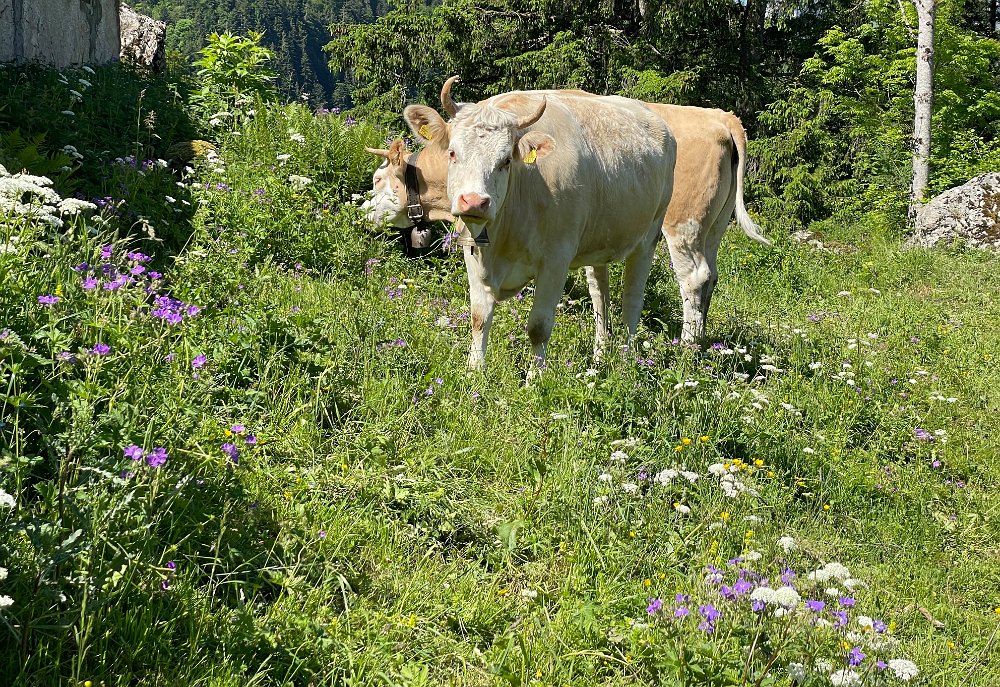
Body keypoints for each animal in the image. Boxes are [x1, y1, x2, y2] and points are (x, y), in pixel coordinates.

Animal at [362, 80, 770, 348]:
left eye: (506, 160)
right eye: (453, 153)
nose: (474, 202)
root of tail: (720, 116)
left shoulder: (555, 259)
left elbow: (539, 327)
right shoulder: (475, 250)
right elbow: (479, 317)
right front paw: (474, 379)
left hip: (670, 228)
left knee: (660, 289)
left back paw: (668, 354)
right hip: (706, 228)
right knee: (616, 289)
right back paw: (616, 354)